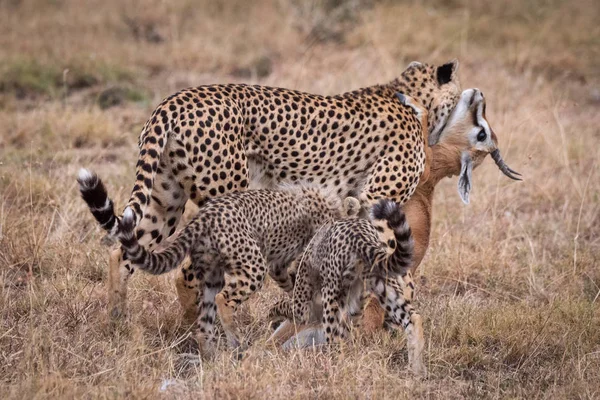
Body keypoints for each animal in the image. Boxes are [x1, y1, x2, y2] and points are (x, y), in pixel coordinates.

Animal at [78, 59, 460, 318]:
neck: (409, 96)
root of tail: (174, 100)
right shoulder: (377, 199)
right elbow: (389, 258)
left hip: (165, 197)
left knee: (124, 252)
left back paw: (119, 322)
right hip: (225, 198)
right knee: (189, 274)